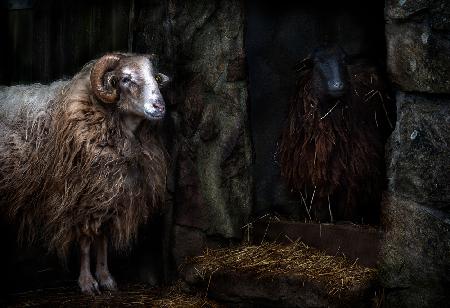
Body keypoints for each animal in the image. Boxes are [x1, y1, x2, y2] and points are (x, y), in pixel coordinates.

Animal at [0, 53, 171, 294]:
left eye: (155, 77)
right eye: (125, 79)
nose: (159, 106)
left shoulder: (108, 195)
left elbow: (102, 240)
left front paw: (106, 278)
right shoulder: (80, 199)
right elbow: (85, 243)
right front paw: (87, 282)